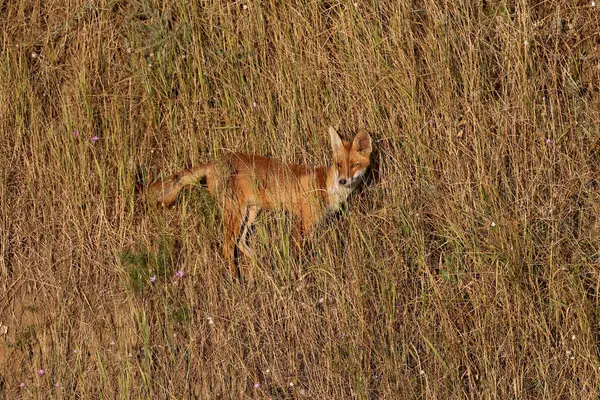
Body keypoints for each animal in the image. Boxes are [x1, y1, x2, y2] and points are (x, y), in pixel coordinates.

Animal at [146, 127, 370, 276]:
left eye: (354, 165)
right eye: (339, 165)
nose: (343, 181)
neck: (327, 186)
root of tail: (215, 162)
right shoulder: (303, 223)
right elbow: (300, 254)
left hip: (251, 212)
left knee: (241, 242)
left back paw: (261, 265)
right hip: (236, 213)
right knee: (227, 248)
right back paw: (236, 281)